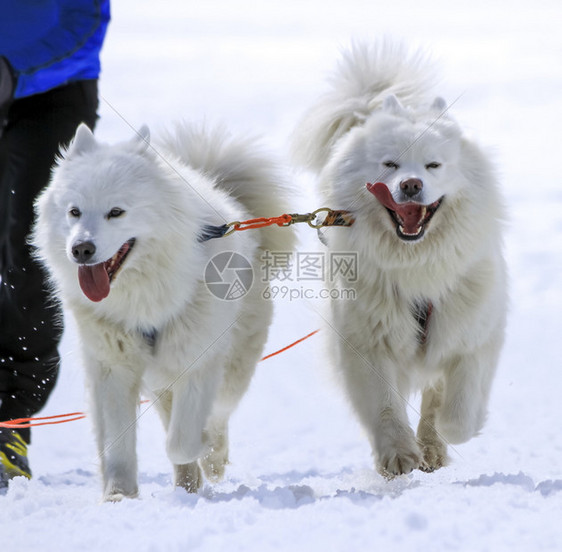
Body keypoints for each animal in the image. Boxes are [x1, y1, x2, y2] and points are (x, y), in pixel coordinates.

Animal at [31, 124, 294, 500]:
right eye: (74, 211)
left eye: (116, 212)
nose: (81, 249)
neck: (143, 299)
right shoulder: (113, 365)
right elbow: (118, 443)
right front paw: (118, 495)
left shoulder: (197, 361)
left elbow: (181, 442)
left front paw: (202, 447)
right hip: (159, 377)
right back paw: (188, 484)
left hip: (232, 365)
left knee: (218, 415)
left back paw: (211, 461)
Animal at [290, 43, 506, 476]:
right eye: (390, 163)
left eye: (433, 165)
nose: (410, 184)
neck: (416, 264)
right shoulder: (368, 340)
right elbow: (385, 406)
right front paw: (399, 456)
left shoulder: (474, 331)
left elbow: (460, 404)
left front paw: (447, 432)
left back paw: (434, 445)